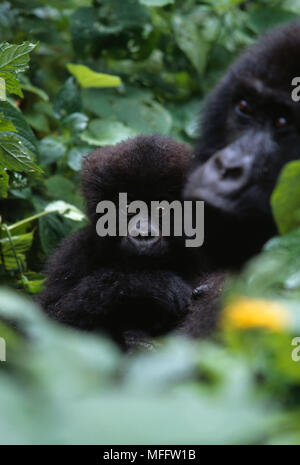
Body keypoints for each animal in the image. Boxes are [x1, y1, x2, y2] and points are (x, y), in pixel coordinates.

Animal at [39, 134, 195, 348]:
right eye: (128, 206)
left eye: (161, 209)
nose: (143, 234)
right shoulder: (75, 252)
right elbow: (49, 320)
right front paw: (152, 285)